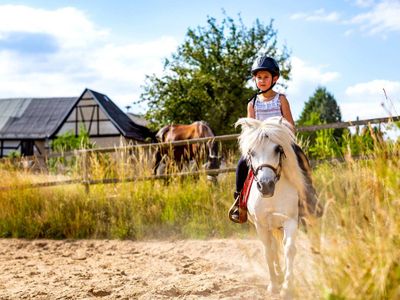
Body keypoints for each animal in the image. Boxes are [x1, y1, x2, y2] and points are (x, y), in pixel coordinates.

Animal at [236, 116, 318, 298]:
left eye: (277, 149)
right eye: (251, 152)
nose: (266, 185)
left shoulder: (290, 220)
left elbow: (289, 249)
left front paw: (287, 287)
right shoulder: (261, 225)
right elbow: (269, 252)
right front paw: (274, 285)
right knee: (274, 247)